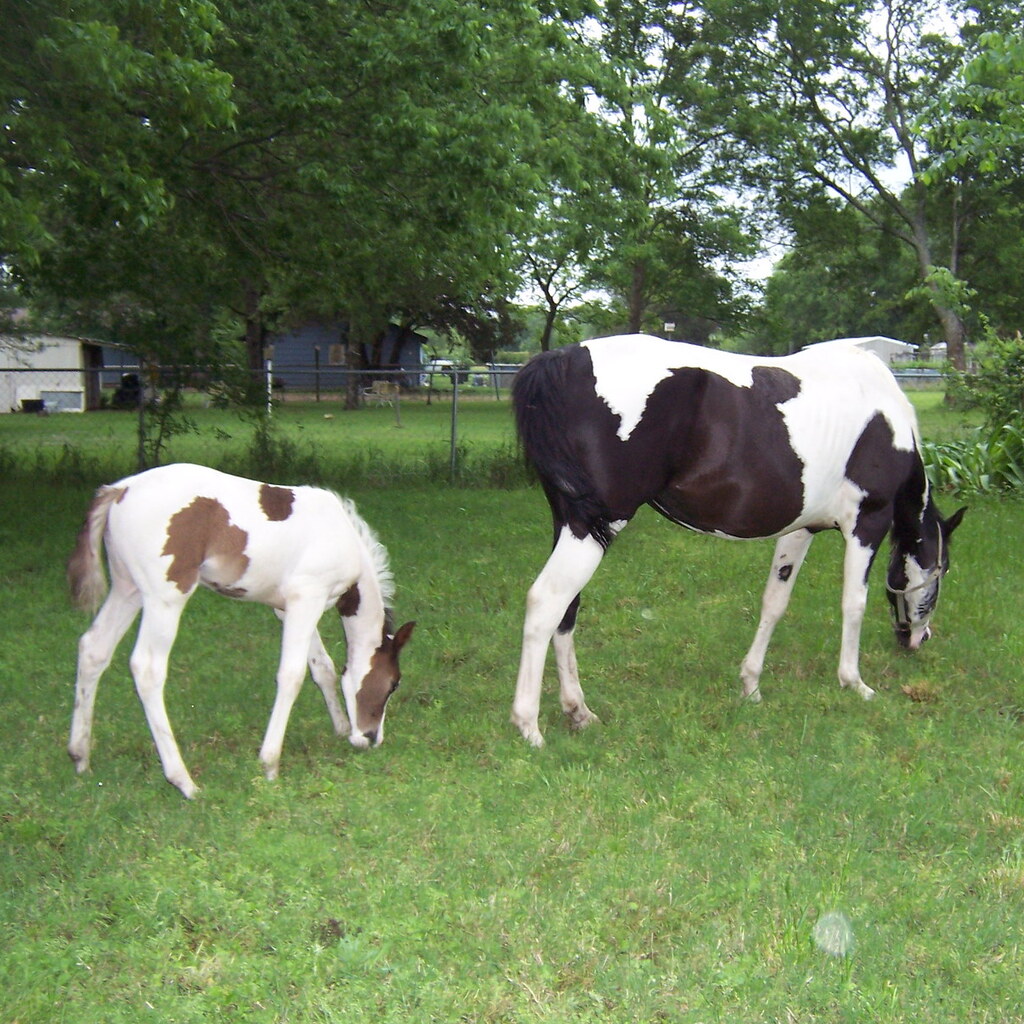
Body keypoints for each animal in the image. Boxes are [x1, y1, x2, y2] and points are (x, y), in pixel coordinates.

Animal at [67, 463, 415, 797]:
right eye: (393, 683)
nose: (370, 738)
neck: (342, 538)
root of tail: (119, 489)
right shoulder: (307, 599)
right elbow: (292, 676)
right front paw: (270, 763)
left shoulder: (287, 608)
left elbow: (323, 668)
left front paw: (340, 726)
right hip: (165, 597)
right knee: (147, 669)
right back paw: (184, 782)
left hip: (127, 589)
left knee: (94, 648)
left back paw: (80, 755)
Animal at [510, 334, 965, 747]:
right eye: (940, 573)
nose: (917, 640)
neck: (885, 415)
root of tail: (562, 360)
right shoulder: (866, 524)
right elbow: (853, 603)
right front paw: (854, 683)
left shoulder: (800, 530)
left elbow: (774, 603)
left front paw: (751, 685)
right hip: (593, 527)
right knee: (546, 602)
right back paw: (528, 725)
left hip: (572, 524)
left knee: (566, 610)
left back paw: (578, 712)